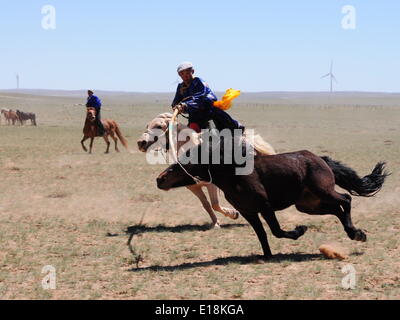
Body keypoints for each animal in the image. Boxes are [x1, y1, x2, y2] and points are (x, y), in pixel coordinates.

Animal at [137, 112, 276, 228]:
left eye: (159, 126)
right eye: (147, 125)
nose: (141, 142)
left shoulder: (212, 184)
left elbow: (215, 204)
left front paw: (233, 213)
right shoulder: (193, 187)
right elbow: (206, 205)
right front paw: (216, 223)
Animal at [158, 139, 390, 258]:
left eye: (180, 164)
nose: (159, 179)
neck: (233, 173)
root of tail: (320, 159)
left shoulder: (265, 206)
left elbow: (276, 231)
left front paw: (299, 231)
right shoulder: (249, 212)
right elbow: (262, 234)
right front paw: (267, 255)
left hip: (323, 192)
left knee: (346, 199)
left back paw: (356, 233)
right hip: (308, 204)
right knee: (337, 209)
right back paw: (355, 234)